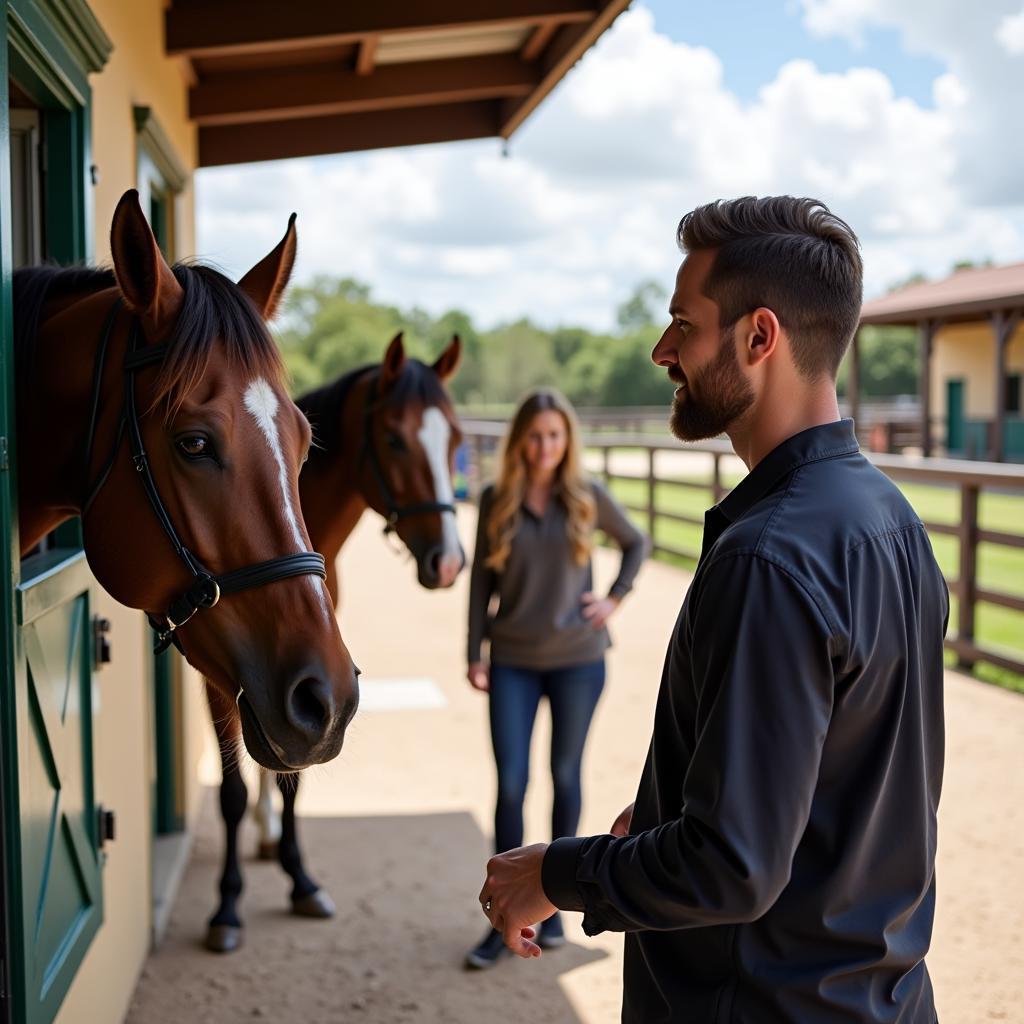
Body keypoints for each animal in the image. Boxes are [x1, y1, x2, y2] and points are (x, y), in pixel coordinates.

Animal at [202, 331, 464, 946]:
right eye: (393, 438)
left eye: (456, 439)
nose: (447, 562)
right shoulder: (231, 684)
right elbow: (230, 790)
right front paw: (227, 906)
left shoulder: (304, 684)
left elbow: (292, 779)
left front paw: (300, 879)